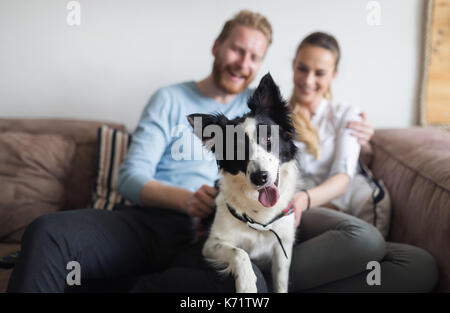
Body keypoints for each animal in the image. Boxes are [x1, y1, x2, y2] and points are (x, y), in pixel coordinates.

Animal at [187, 73, 298, 292]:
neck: (260, 215)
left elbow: (281, 282)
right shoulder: (212, 244)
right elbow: (240, 253)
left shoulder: (283, 248)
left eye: (268, 140)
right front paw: (247, 284)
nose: (259, 177)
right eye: (236, 150)